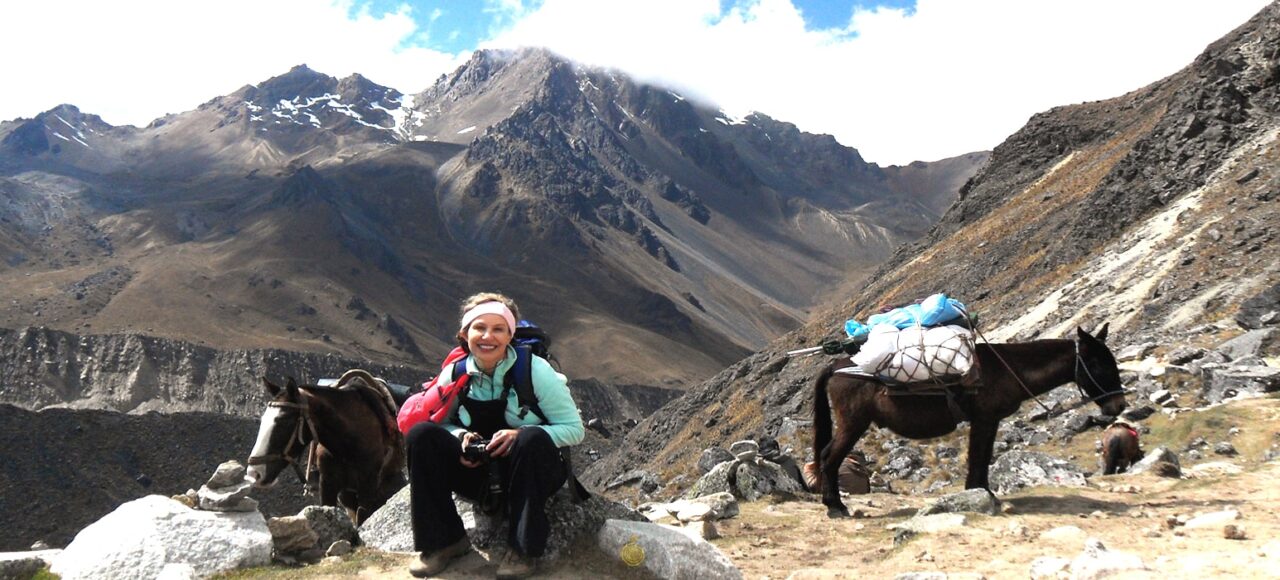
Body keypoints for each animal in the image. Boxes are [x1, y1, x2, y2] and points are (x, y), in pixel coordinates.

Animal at [814, 322, 1126, 517]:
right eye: (1099, 364)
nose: (1119, 405)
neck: (1009, 369)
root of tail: (836, 366)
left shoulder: (990, 421)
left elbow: (984, 457)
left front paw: (984, 493)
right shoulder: (984, 419)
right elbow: (978, 456)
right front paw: (979, 494)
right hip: (853, 423)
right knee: (830, 457)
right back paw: (835, 507)